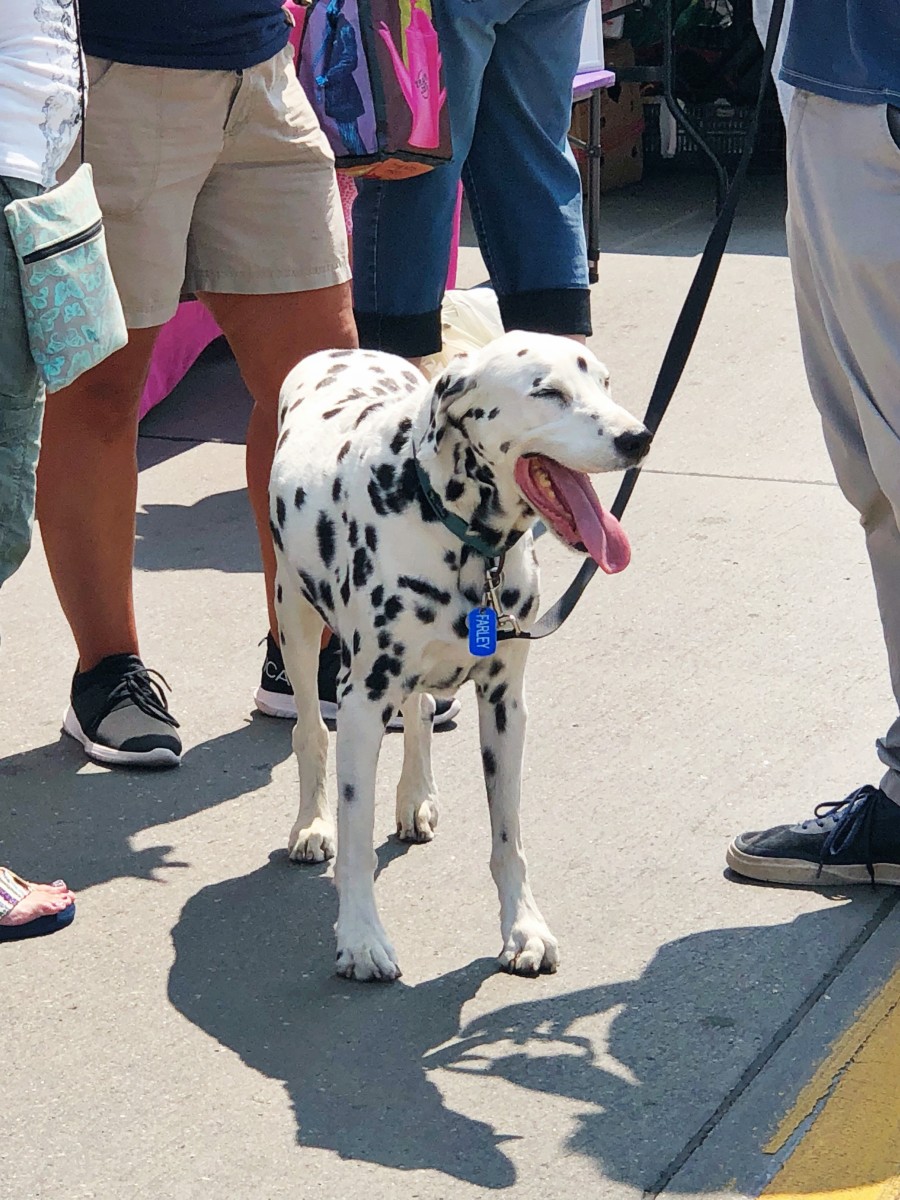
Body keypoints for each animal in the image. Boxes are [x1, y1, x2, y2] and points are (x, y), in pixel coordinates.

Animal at [271, 326, 652, 974]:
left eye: (604, 383)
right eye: (547, 392)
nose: (638, 437)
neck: (460, 537)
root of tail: (343, 352)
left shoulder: (505, 705)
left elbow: (508, 837)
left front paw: (523, 927)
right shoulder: (360, 706)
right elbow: (356, 841)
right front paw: (361, 938)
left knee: (420, 712)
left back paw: (415, 798)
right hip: (293, 623)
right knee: (310, 732)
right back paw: (312, 823)